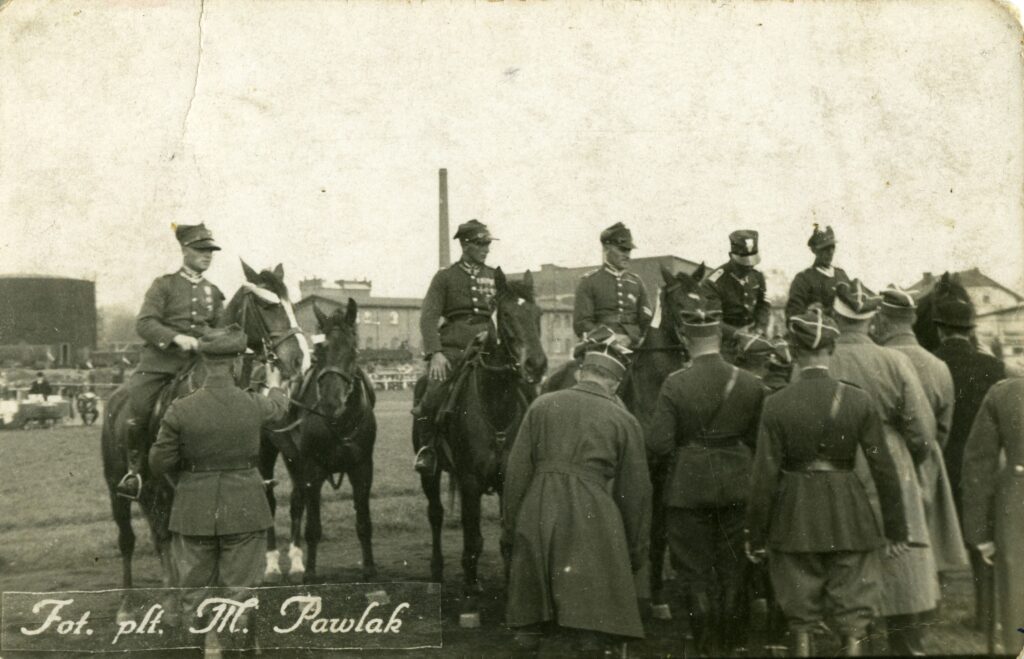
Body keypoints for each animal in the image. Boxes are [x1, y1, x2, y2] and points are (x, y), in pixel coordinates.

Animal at [99, 259, 309, 622]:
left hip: (154, 491)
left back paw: (170, 601)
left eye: (291, 305)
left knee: (160, 536)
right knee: (129, 539)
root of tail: (114, 400)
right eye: (267, 305)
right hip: (119, 489)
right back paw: (127, 606)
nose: (299, 360)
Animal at [260, 298, 380, 581]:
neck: (340, 421)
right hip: (267, 454)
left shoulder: (362, 469)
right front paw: (311, 574)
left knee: (296, 503)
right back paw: (272, 564)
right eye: (319, 351)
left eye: (353, 348)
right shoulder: (313, 470)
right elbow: (313, 527)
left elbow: (363, 522)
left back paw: (295, 561)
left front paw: (369, 569)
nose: (330, 402)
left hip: (293, 458)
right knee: (269, 501)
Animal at [413, 266, 548, 622]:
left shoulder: (508, 479)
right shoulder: (471, 481)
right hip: (430, 473)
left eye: (538, 314)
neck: (495, 404)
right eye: (507, 315)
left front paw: (511, 590)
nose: (537, 365)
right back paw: (438, 573)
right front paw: (471, 596)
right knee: (436, 515)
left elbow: (506, 536)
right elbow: (473, 539)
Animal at [540, 264, 708, 618]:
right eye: (679, 304)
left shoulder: (664, 472)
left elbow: (658, 533)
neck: (654, 389)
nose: (701, 340)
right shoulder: (637, 467)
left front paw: (657, 597)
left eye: (705, 300)